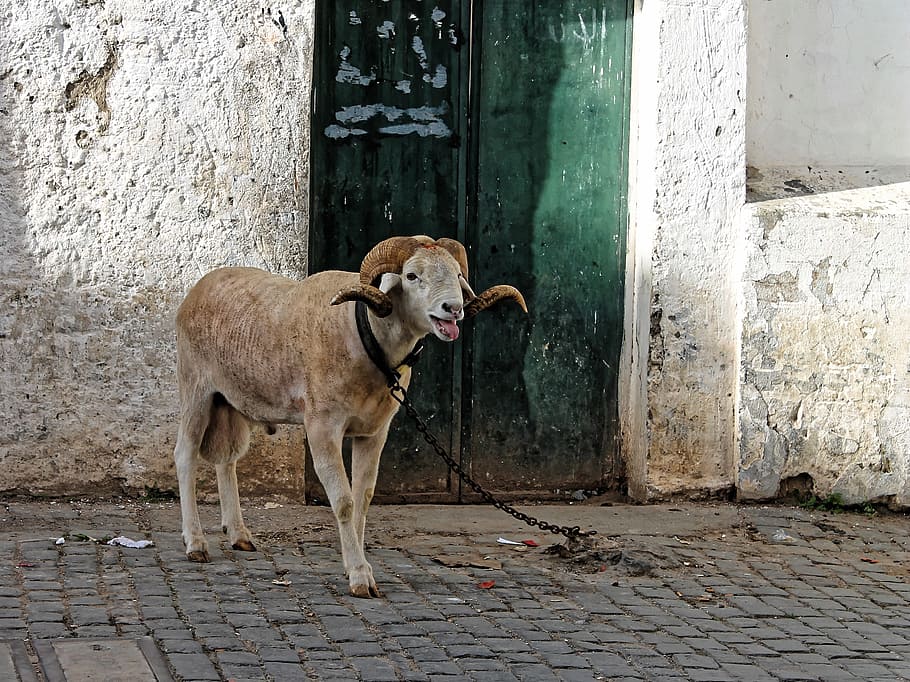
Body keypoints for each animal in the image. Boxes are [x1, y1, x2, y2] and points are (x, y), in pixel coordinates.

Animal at [173, 235, 527, 597]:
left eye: (457, 274)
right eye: (412, 275)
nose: (453, 309)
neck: (364, 334)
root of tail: (199, 287)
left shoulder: (374, 432)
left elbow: (363, 497)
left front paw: (355, 565)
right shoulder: (322, 428)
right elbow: (343, 501)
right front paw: (359, 577)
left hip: (231, 401)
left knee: (226, 461)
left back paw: (239, 535)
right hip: (196, 390)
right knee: (185, 456)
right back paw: (196, 543)